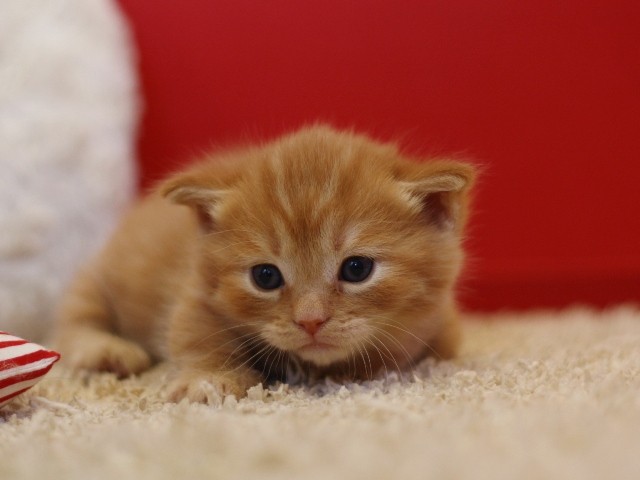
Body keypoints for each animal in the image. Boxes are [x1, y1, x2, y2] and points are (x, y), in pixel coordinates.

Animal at [53, 124, 476, 402]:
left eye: (357, 269)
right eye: (266, 276)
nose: (310, 321)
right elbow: (196, 335)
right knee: (76, 319)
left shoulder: (443, 326)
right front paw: (208, 380)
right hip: (96, 277)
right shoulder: (196, 293)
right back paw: (105, 351)